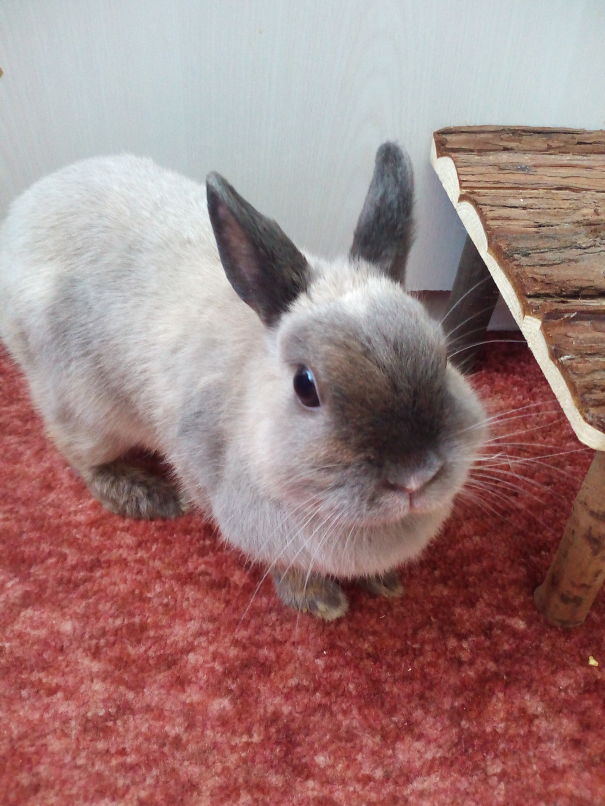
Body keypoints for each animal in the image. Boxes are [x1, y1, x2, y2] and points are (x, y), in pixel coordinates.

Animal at [0, 142, 486, 620]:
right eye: (305, 387)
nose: (415, 476)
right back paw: (146, 495)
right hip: (82, 408)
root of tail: (22, 212)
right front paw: (319, 601)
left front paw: (385, 582)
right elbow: (287, 567)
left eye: (443, 354)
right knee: (80, 456)